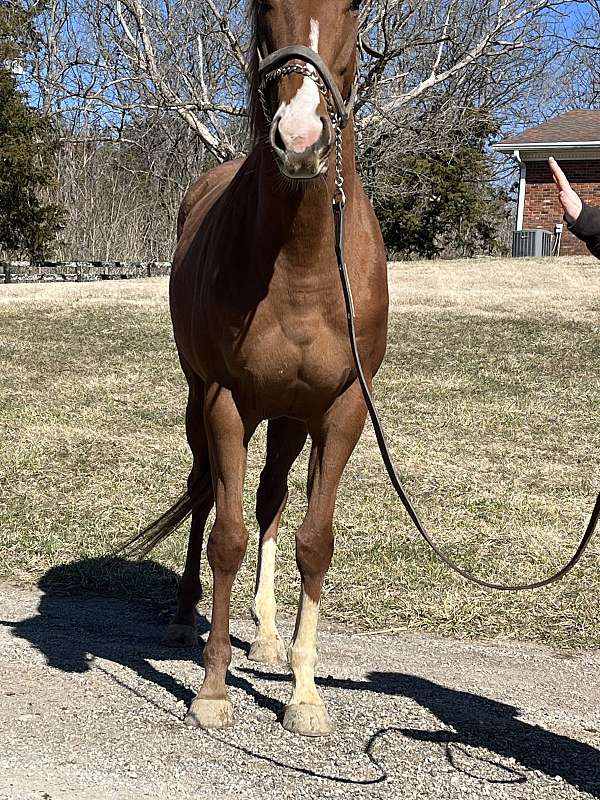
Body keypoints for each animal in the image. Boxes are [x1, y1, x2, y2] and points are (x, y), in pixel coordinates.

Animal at [125, 1, 384, 736]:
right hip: (201, 406)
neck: (302, 260)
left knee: (271, 500)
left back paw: (266, 636)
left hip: (289, 419)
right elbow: (227, 537)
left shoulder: (342, 410)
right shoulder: (224, 401)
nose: (300, 139)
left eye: (354, 9)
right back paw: (184, 615)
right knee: (207, 492)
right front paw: (213, 688)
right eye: (262, 7)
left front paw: (304, 693)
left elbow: (313, 542)